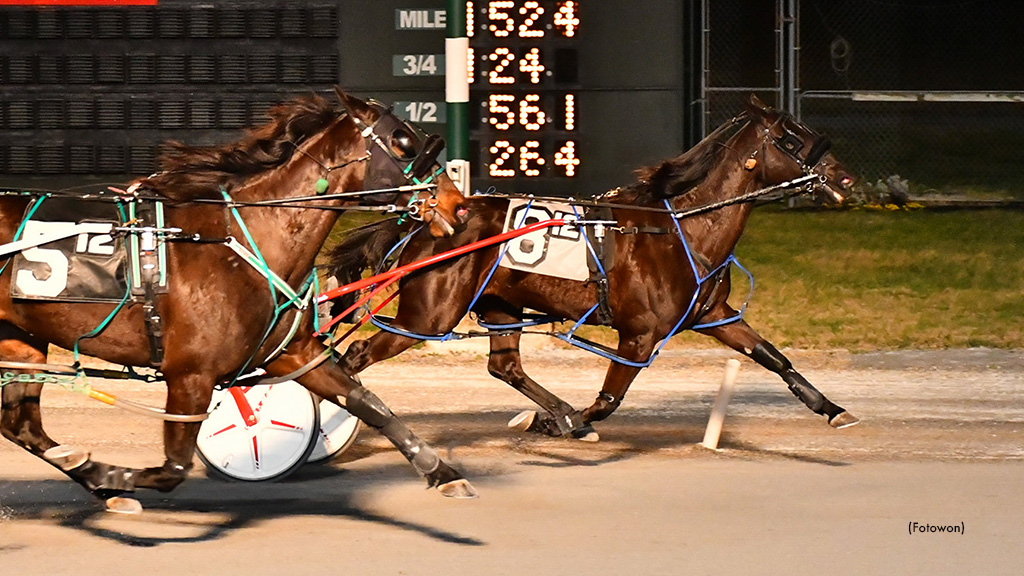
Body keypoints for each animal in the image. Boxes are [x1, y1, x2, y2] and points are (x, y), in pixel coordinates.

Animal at [0, 87, 471, 508]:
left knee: (21, 425)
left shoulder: (292, 354)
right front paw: (116, 477)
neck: (241, 240)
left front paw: (443, 472)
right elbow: (174, 468)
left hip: (21, 341)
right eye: (404, 141)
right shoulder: (190, 374)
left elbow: (368, 403)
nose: (460, 206)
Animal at [331, 96, 860, 440]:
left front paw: (833, 409)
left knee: (505, 366)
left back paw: (555, 409)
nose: (846, 179)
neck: (680, 230)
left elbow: (773, 357)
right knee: (354, 356)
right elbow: (608, 401)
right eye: (790, 139)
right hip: (428, 317)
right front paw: (563, 425)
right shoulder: (640, 335)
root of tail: (426, 222)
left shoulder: (713, 315)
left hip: (500, 305)